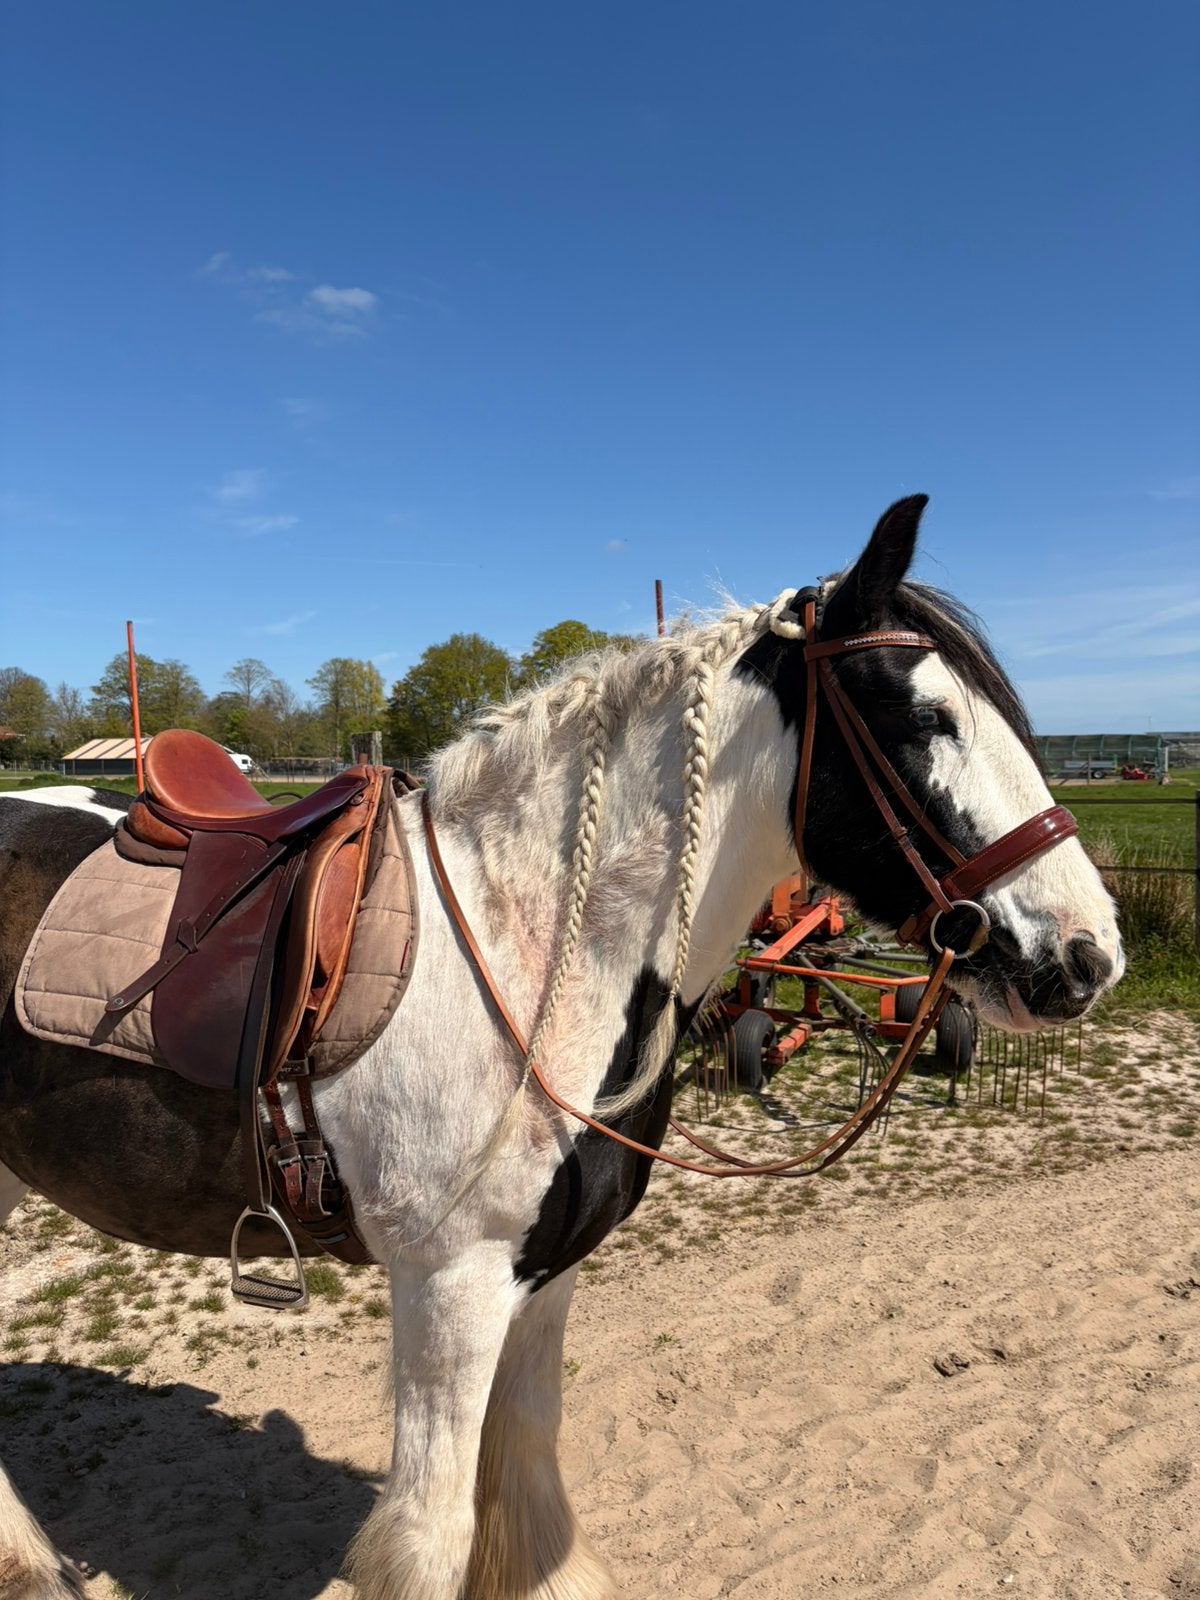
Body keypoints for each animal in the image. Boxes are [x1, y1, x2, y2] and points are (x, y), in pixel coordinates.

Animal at [0, 496, 1122, 1600]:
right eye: (924, 719)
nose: (1089, 954)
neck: (528, 945)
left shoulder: (543, 1272)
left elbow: (529, 1460)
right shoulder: (451, 1283)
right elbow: (436, 1532)